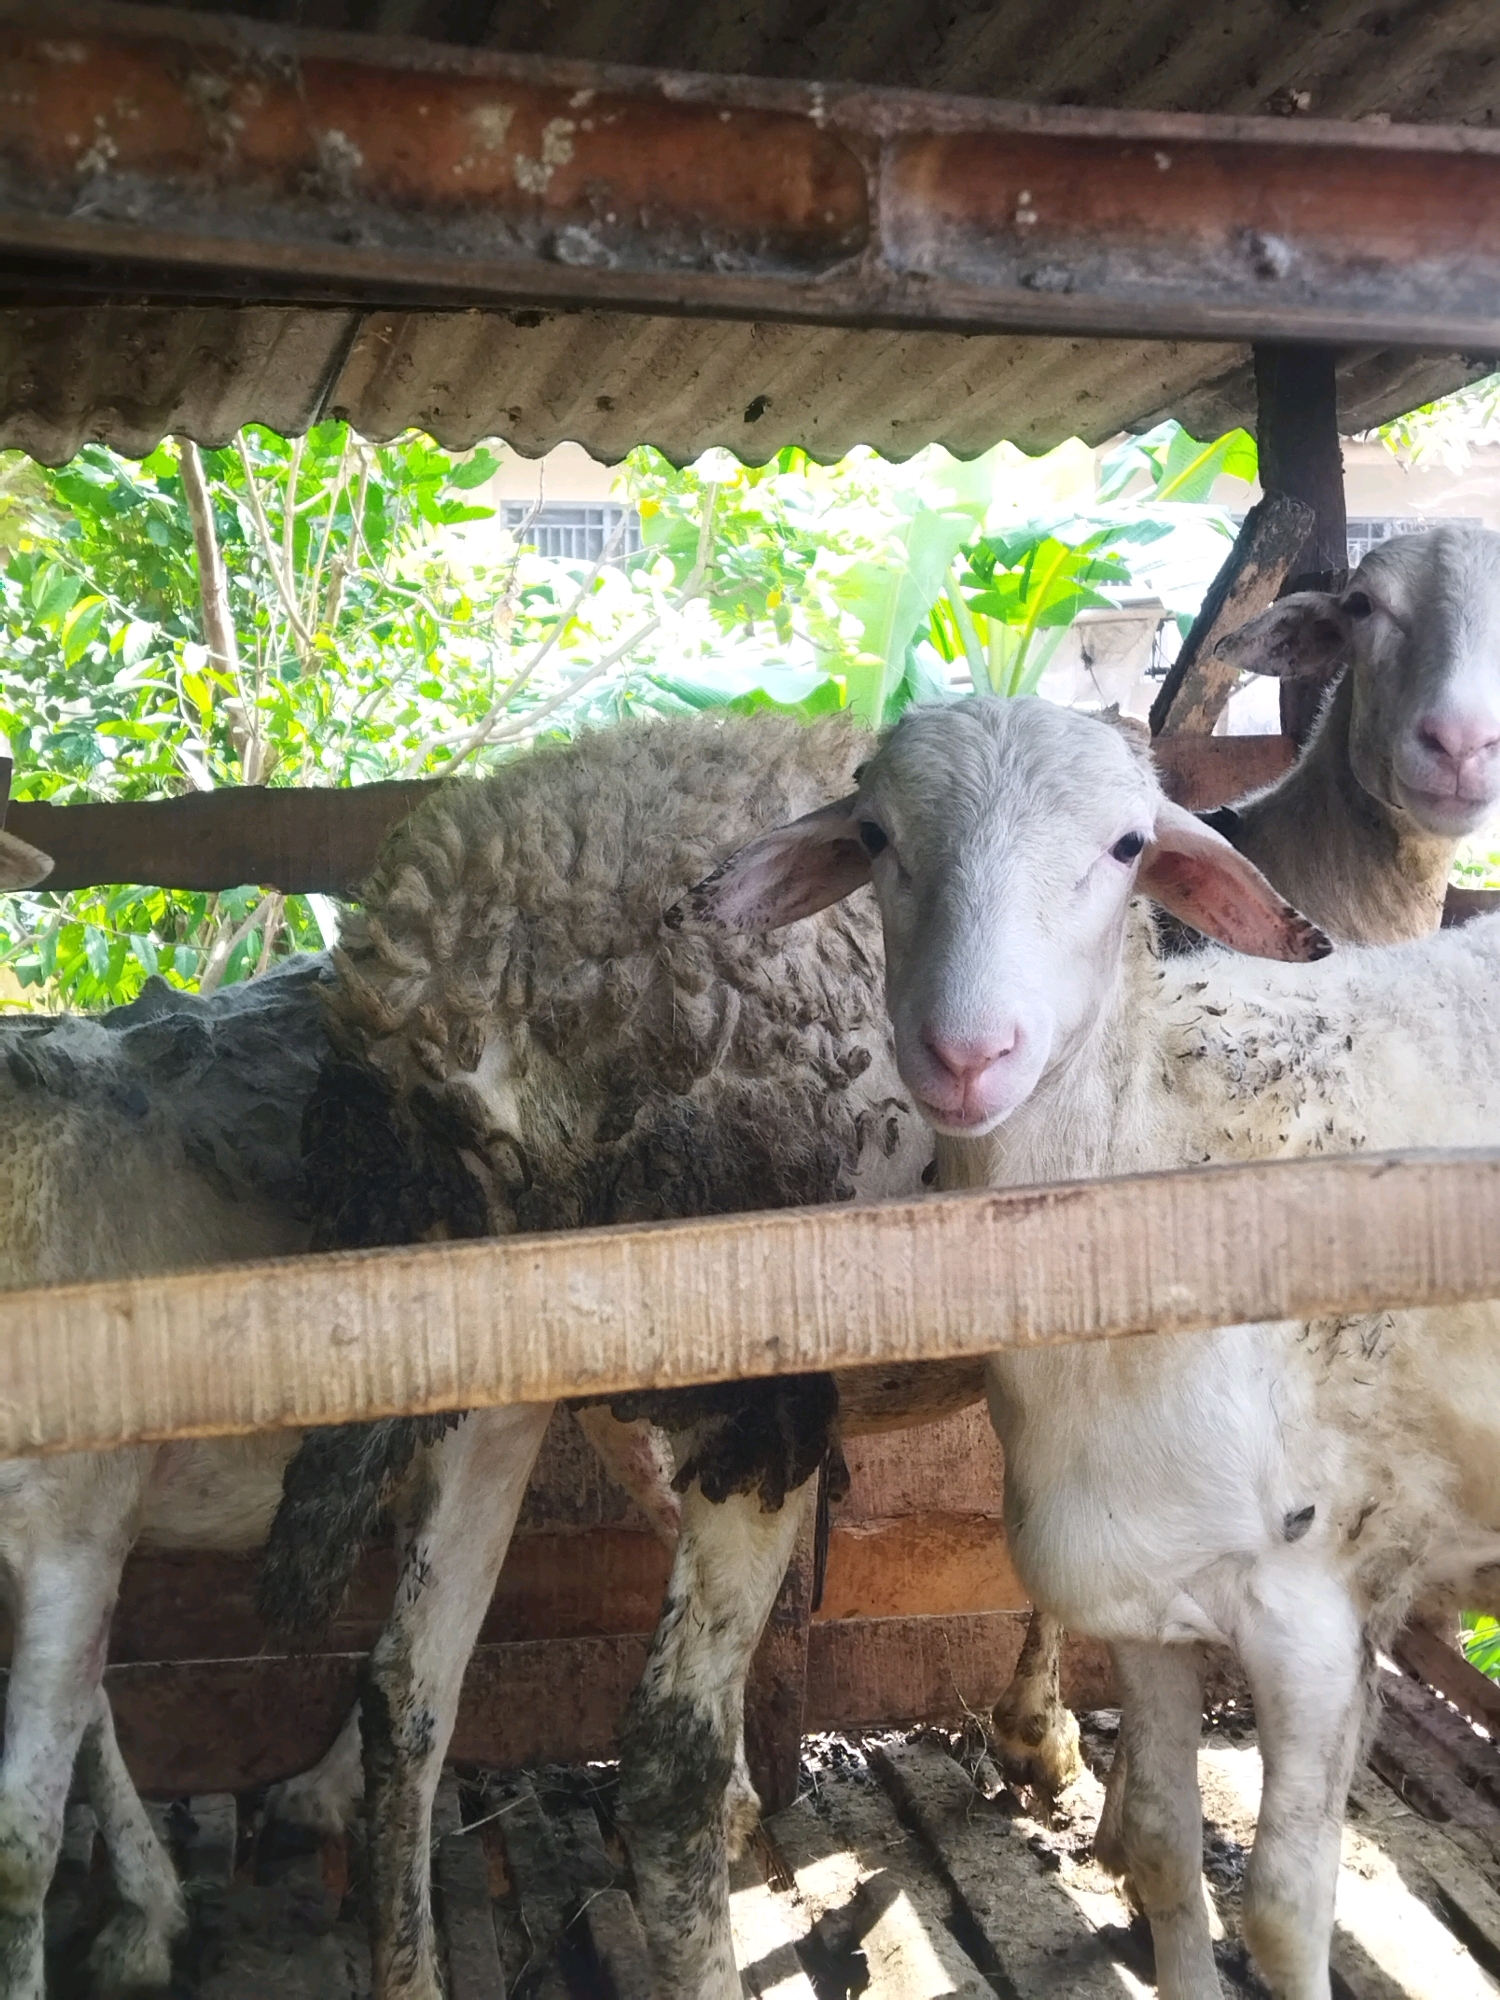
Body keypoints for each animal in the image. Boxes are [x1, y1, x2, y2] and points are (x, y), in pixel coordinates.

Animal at [683, 690, 1500, 2000]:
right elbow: (1164, 1849)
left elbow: (1285, 1911)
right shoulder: (1146, 1596)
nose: (966, 1054)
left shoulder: (1316, 1618)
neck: (1150, 1163)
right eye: (874, 834)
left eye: (1127, 848)